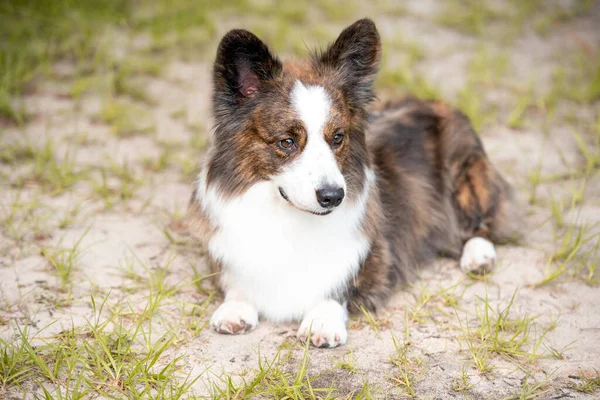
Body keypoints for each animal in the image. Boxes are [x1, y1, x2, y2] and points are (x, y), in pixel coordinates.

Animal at [188, 18, 520, 346]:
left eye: (337, 137)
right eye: (286, 141)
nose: (333, 196)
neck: (289, 218)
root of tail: (439, 103)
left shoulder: (375, 254)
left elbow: (340, 283)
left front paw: (321, 320)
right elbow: (234, 280)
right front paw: (235, 308)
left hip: (467, 178)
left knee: (482, 224)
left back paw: (479, 256)